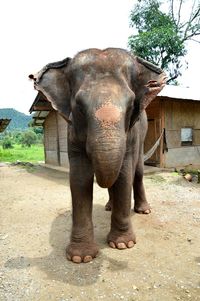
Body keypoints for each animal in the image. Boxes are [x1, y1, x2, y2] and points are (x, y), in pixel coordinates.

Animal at [28, 47, 166, 262]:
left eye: (131, 105)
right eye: (79, 106)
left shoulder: (132, 133)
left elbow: (124, 174)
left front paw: (123, 245)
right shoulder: (73, 132)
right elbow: (80, 178)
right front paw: (81, 257)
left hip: (143, 135)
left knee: (138, 172)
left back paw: (144, 210)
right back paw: (109, 206)